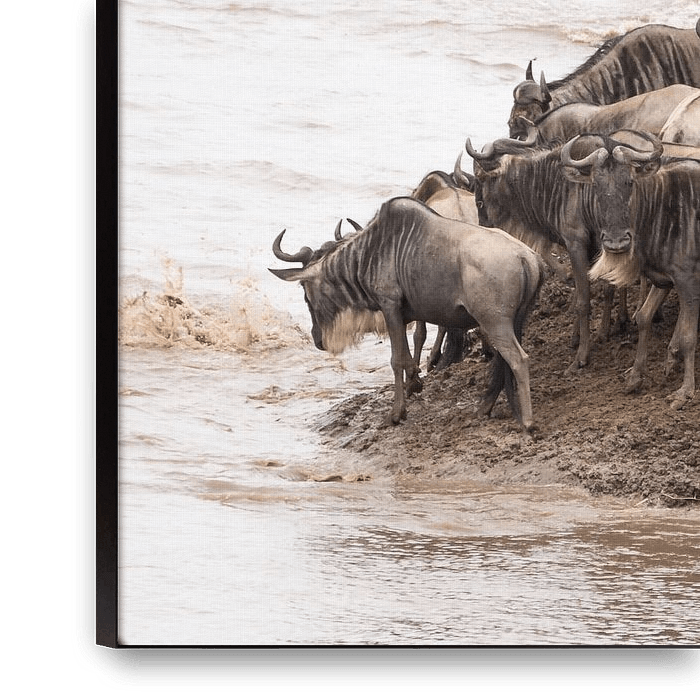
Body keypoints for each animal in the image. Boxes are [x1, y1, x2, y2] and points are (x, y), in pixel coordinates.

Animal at [270, 197, 545, 430]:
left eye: (305, 291)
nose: (318, 340)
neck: (369, 252)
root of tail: (527, 257)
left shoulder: (389, 305)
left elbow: (397, 359)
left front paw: (396, 414)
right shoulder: (403, 314)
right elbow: (408, 354)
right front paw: (415, 382)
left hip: (495, 322)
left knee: (518, 359)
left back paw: (528, 422)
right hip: (514, 322)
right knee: (502, 362)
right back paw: (484, 408)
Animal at [465, 130, 662, 373]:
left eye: (480, 178)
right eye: (596, 186)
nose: (482, 220)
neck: (555, 183)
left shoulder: (577, 244)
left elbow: (584, 300)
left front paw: (582, 356)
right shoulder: (600, 247)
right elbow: (598, 290)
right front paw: (594, 334)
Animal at [572, 141, 700, 409]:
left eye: (629, 182)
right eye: (596, 185)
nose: (616, 243)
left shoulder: (688, 282)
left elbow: (688, 336)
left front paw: (685, 391)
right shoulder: (664, 279)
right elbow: (643, 317)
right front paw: (636, 375)